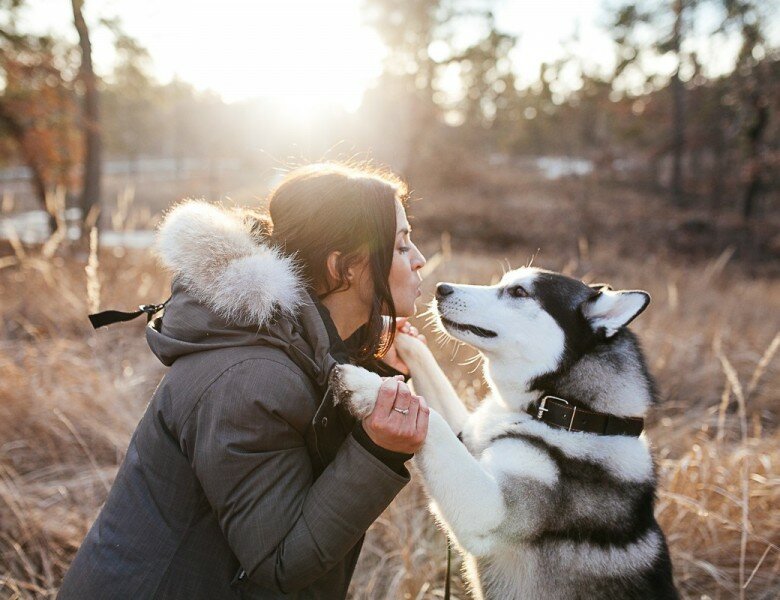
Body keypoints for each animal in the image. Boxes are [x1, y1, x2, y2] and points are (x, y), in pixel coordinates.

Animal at [332, 268, 680, 600]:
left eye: (518, 292)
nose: (441, 288)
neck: (568, 412)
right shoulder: (469, 436)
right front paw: (394, 330)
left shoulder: (490, 510)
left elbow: (434, 422)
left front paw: (366, 386)